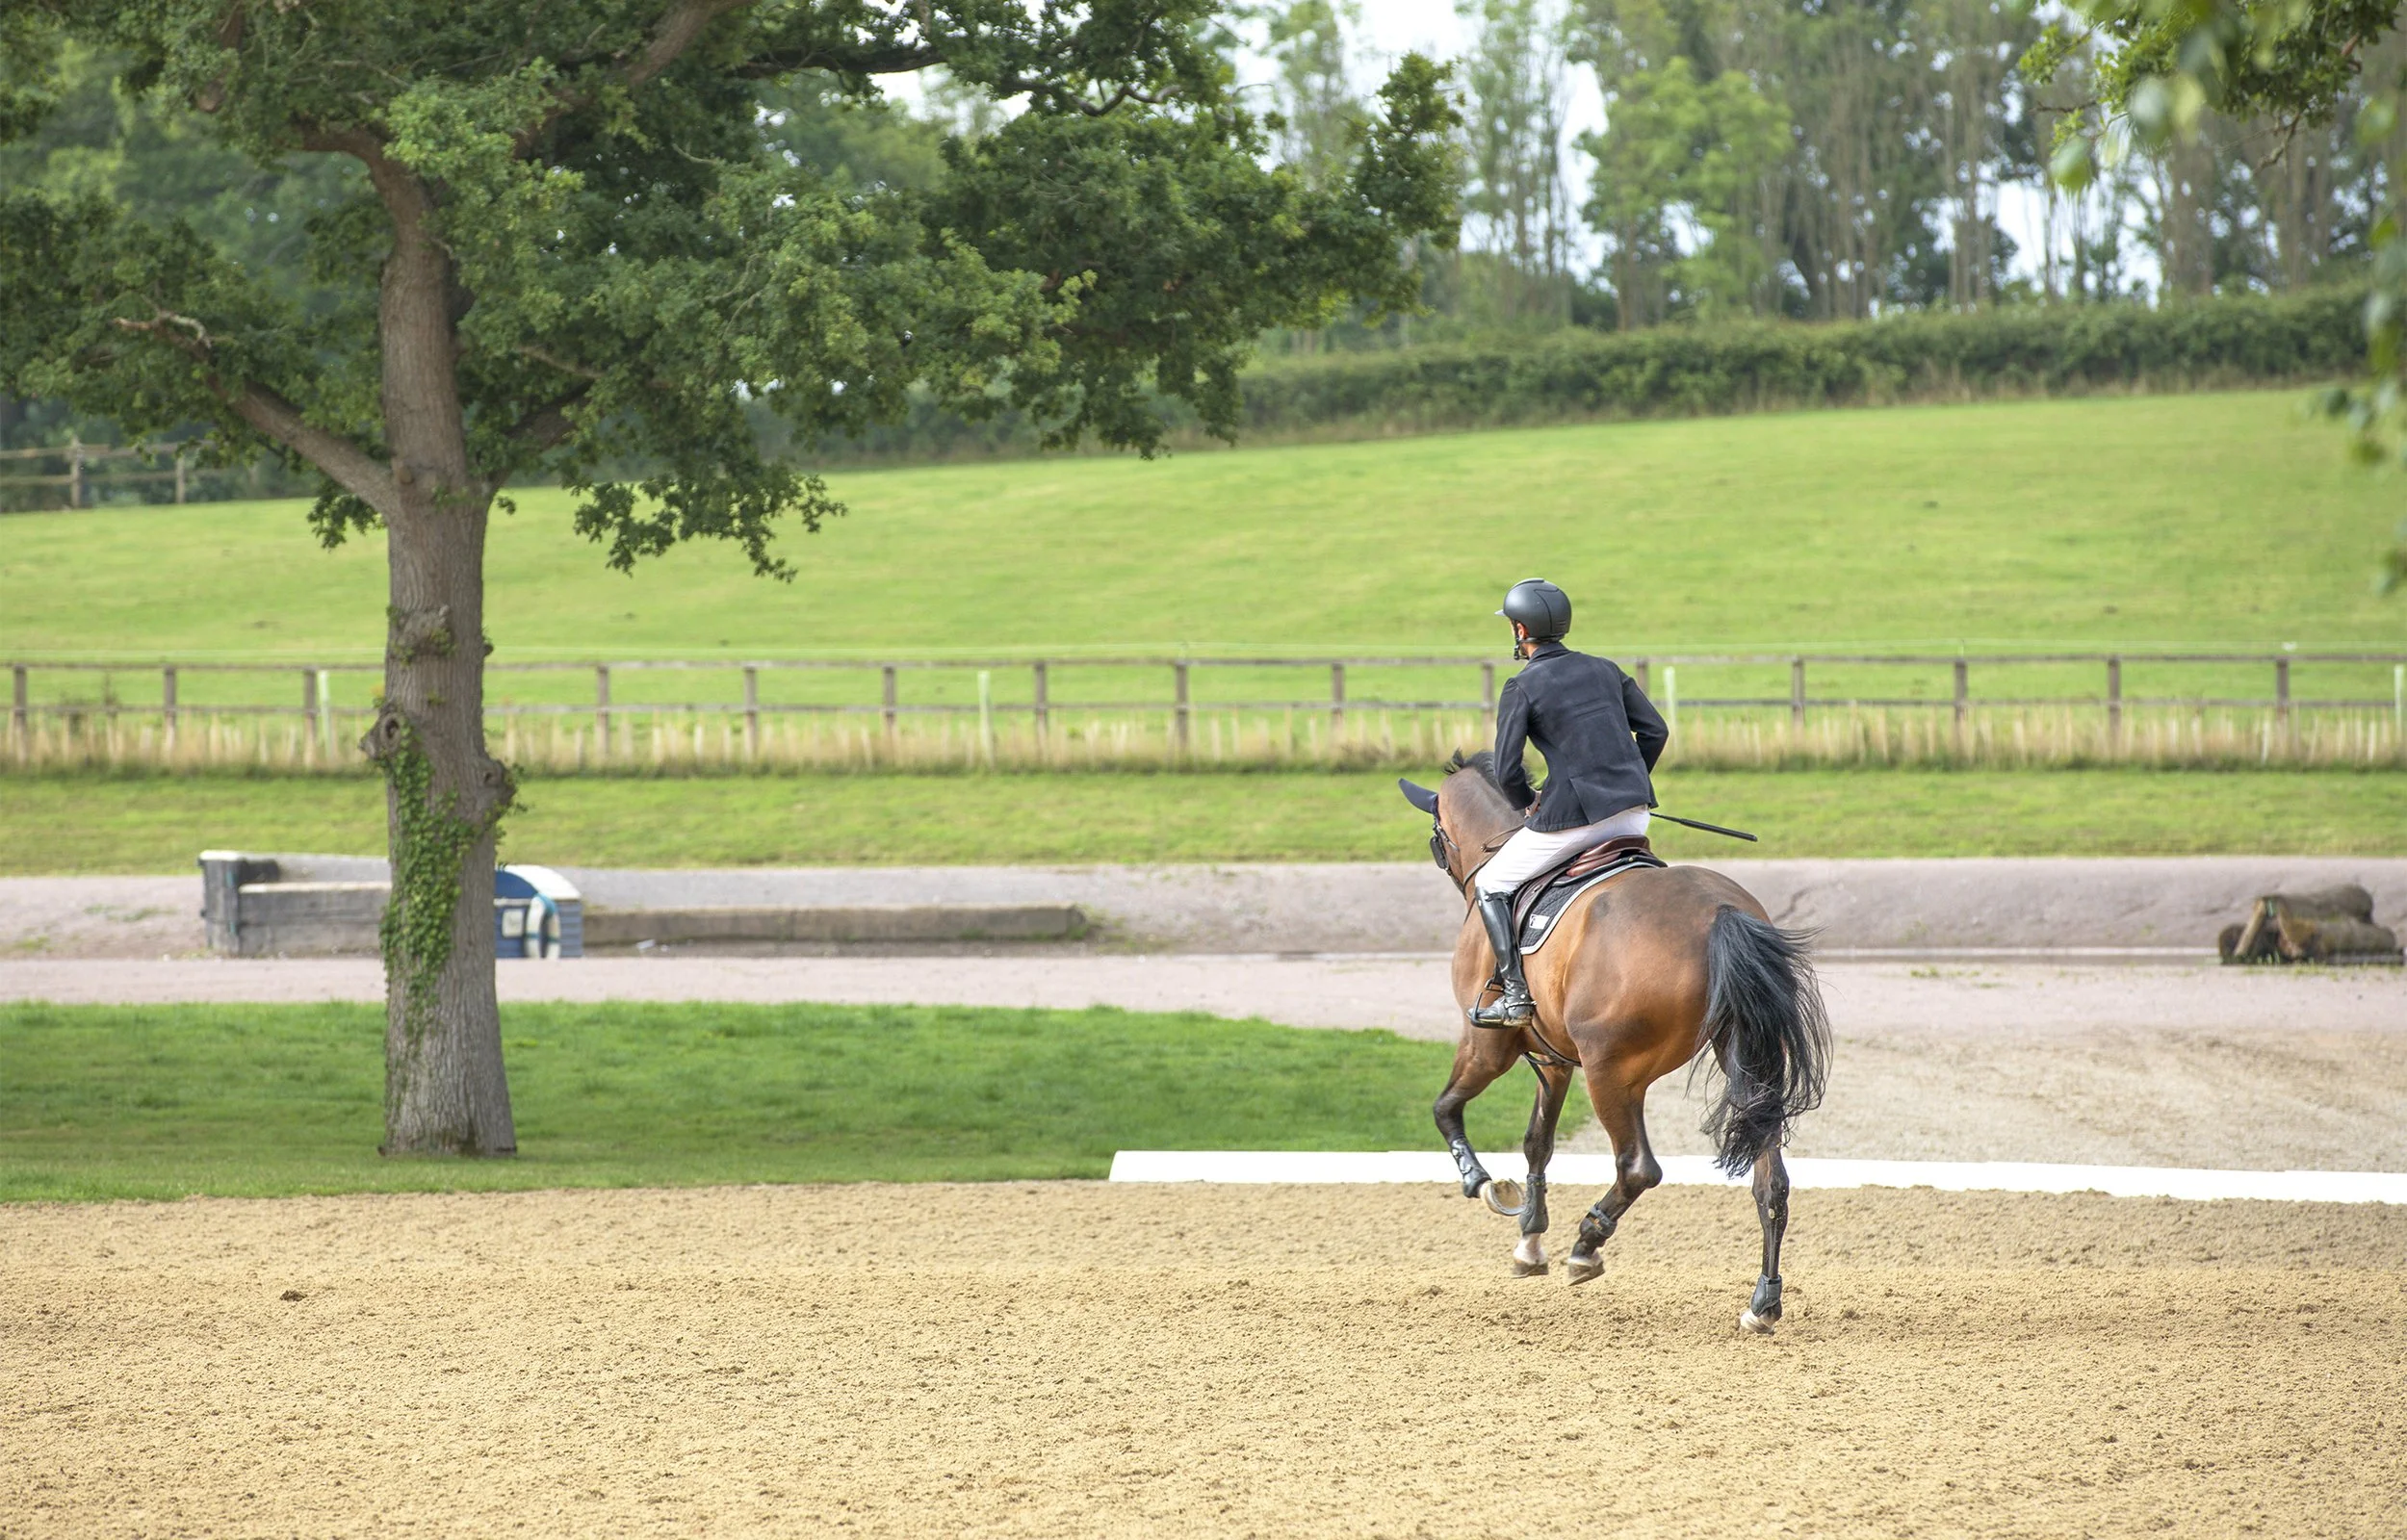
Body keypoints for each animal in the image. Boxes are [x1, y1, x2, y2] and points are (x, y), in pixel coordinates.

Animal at [1398, 750, 1830, 1333]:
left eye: (1437, 831)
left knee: (1638, 1167)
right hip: (1744, 1063)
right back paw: (1762, 1303)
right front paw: (1529, 1238)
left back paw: (1587, 1245)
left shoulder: (1487, 1045)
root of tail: (1720, 913)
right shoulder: (1552, 1059)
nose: (1444, 859)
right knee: (1772, 1183)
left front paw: (1485, 1185)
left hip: (1613, 1072)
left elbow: (1445, 1109)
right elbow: (1537, 1141)